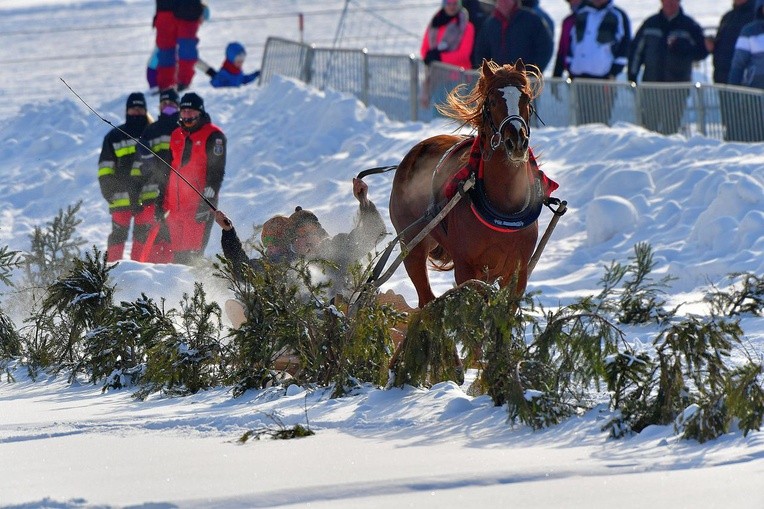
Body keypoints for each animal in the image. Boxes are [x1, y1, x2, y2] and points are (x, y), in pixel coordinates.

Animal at [388, 59, 548, 306]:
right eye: (492, 101)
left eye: (526, 100)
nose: (517, 142)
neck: (504, 208)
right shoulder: (467, 268)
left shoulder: (517, 273)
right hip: (411, 244)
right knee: (425, 296)